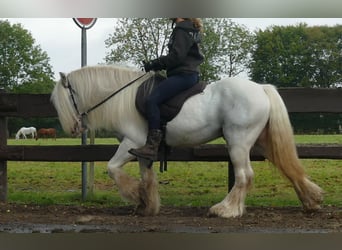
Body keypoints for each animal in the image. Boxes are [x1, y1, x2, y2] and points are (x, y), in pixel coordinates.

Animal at [50, 65, 324, 218]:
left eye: (67, 97)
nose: (73, 127)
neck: (122, 97)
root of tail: (260, 88)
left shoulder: (130, 142)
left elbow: (112, 168)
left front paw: (134, 195)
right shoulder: (142, 149)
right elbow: (147, 176)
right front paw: (147, 205)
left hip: (238, 141)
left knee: (244, 175)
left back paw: (226, 210)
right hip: (261, 141)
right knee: (287, 167)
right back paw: (311, 201)